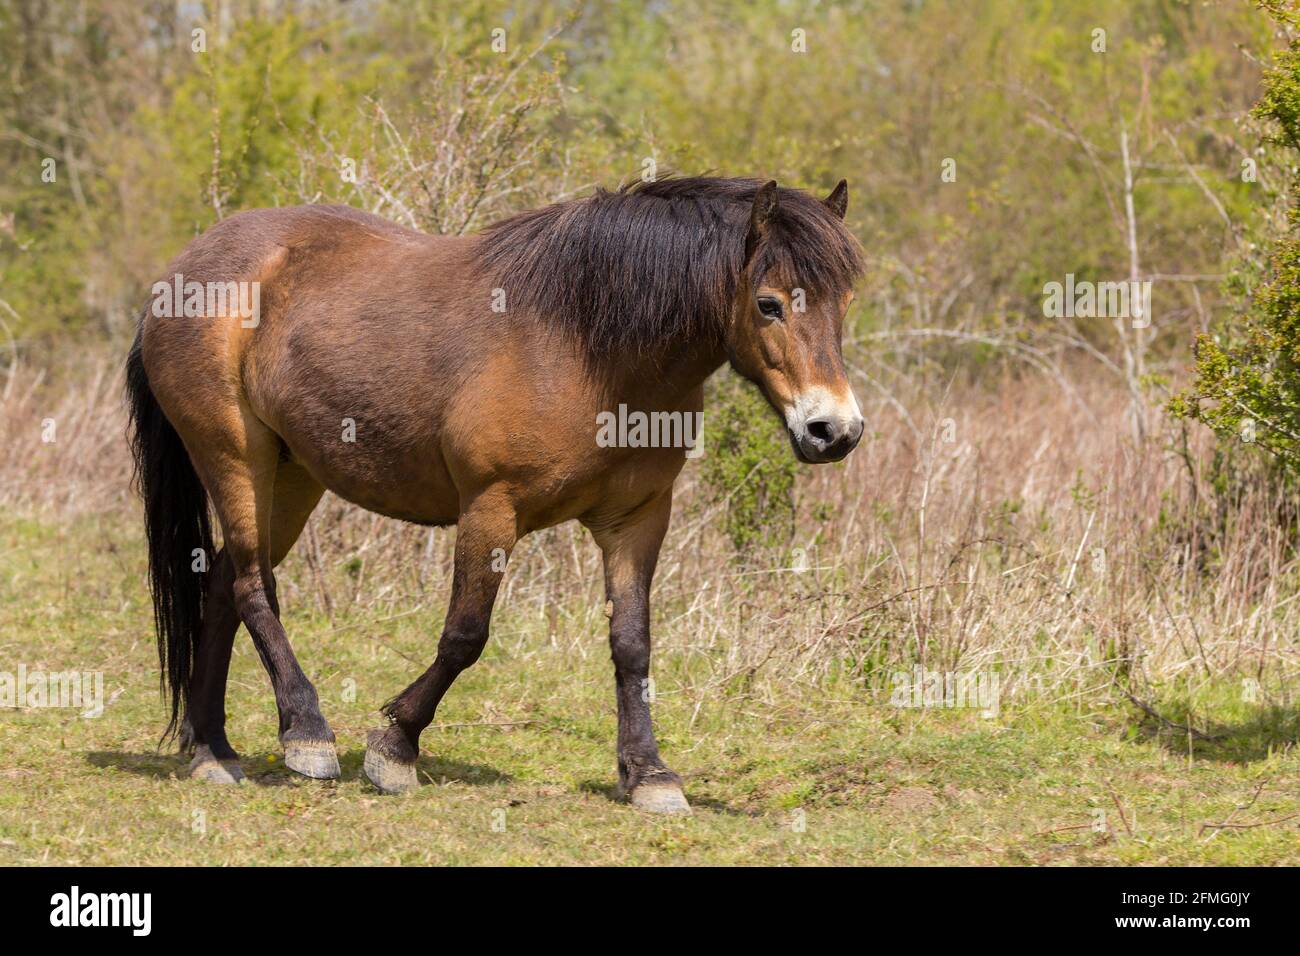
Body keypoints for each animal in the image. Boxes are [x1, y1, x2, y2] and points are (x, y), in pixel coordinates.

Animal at [129, 175, 863, 811]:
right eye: (768, 303)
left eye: (845, 304)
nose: (835, 430)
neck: (586, 346)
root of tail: (184, 270)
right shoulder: (491, 509)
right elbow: (465, 635)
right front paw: (394, 748)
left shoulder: (638, 519)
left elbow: (632, 645)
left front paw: (650, 774)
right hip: (234, 456)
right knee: (252, 585)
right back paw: (306, 733)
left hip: (292, 475)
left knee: (223, 586)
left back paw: (213, 749)